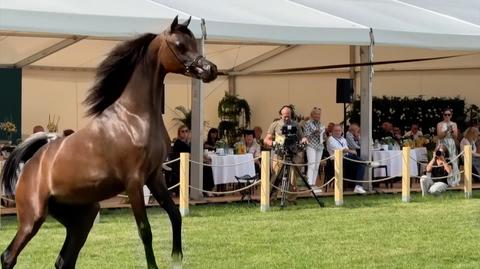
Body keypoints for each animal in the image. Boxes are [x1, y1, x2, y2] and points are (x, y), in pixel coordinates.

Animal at [0, 16, 218, 268]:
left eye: (194, 42)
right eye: (180, 45)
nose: (211, 70)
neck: (133, 116)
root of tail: (30, 164)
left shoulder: (154, 177)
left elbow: (175, 215)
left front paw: (177, 258)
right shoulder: (134, 182)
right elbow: (145, 231)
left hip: (82, 219)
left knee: (64, 260)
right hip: (32, 218)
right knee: (9, 255)